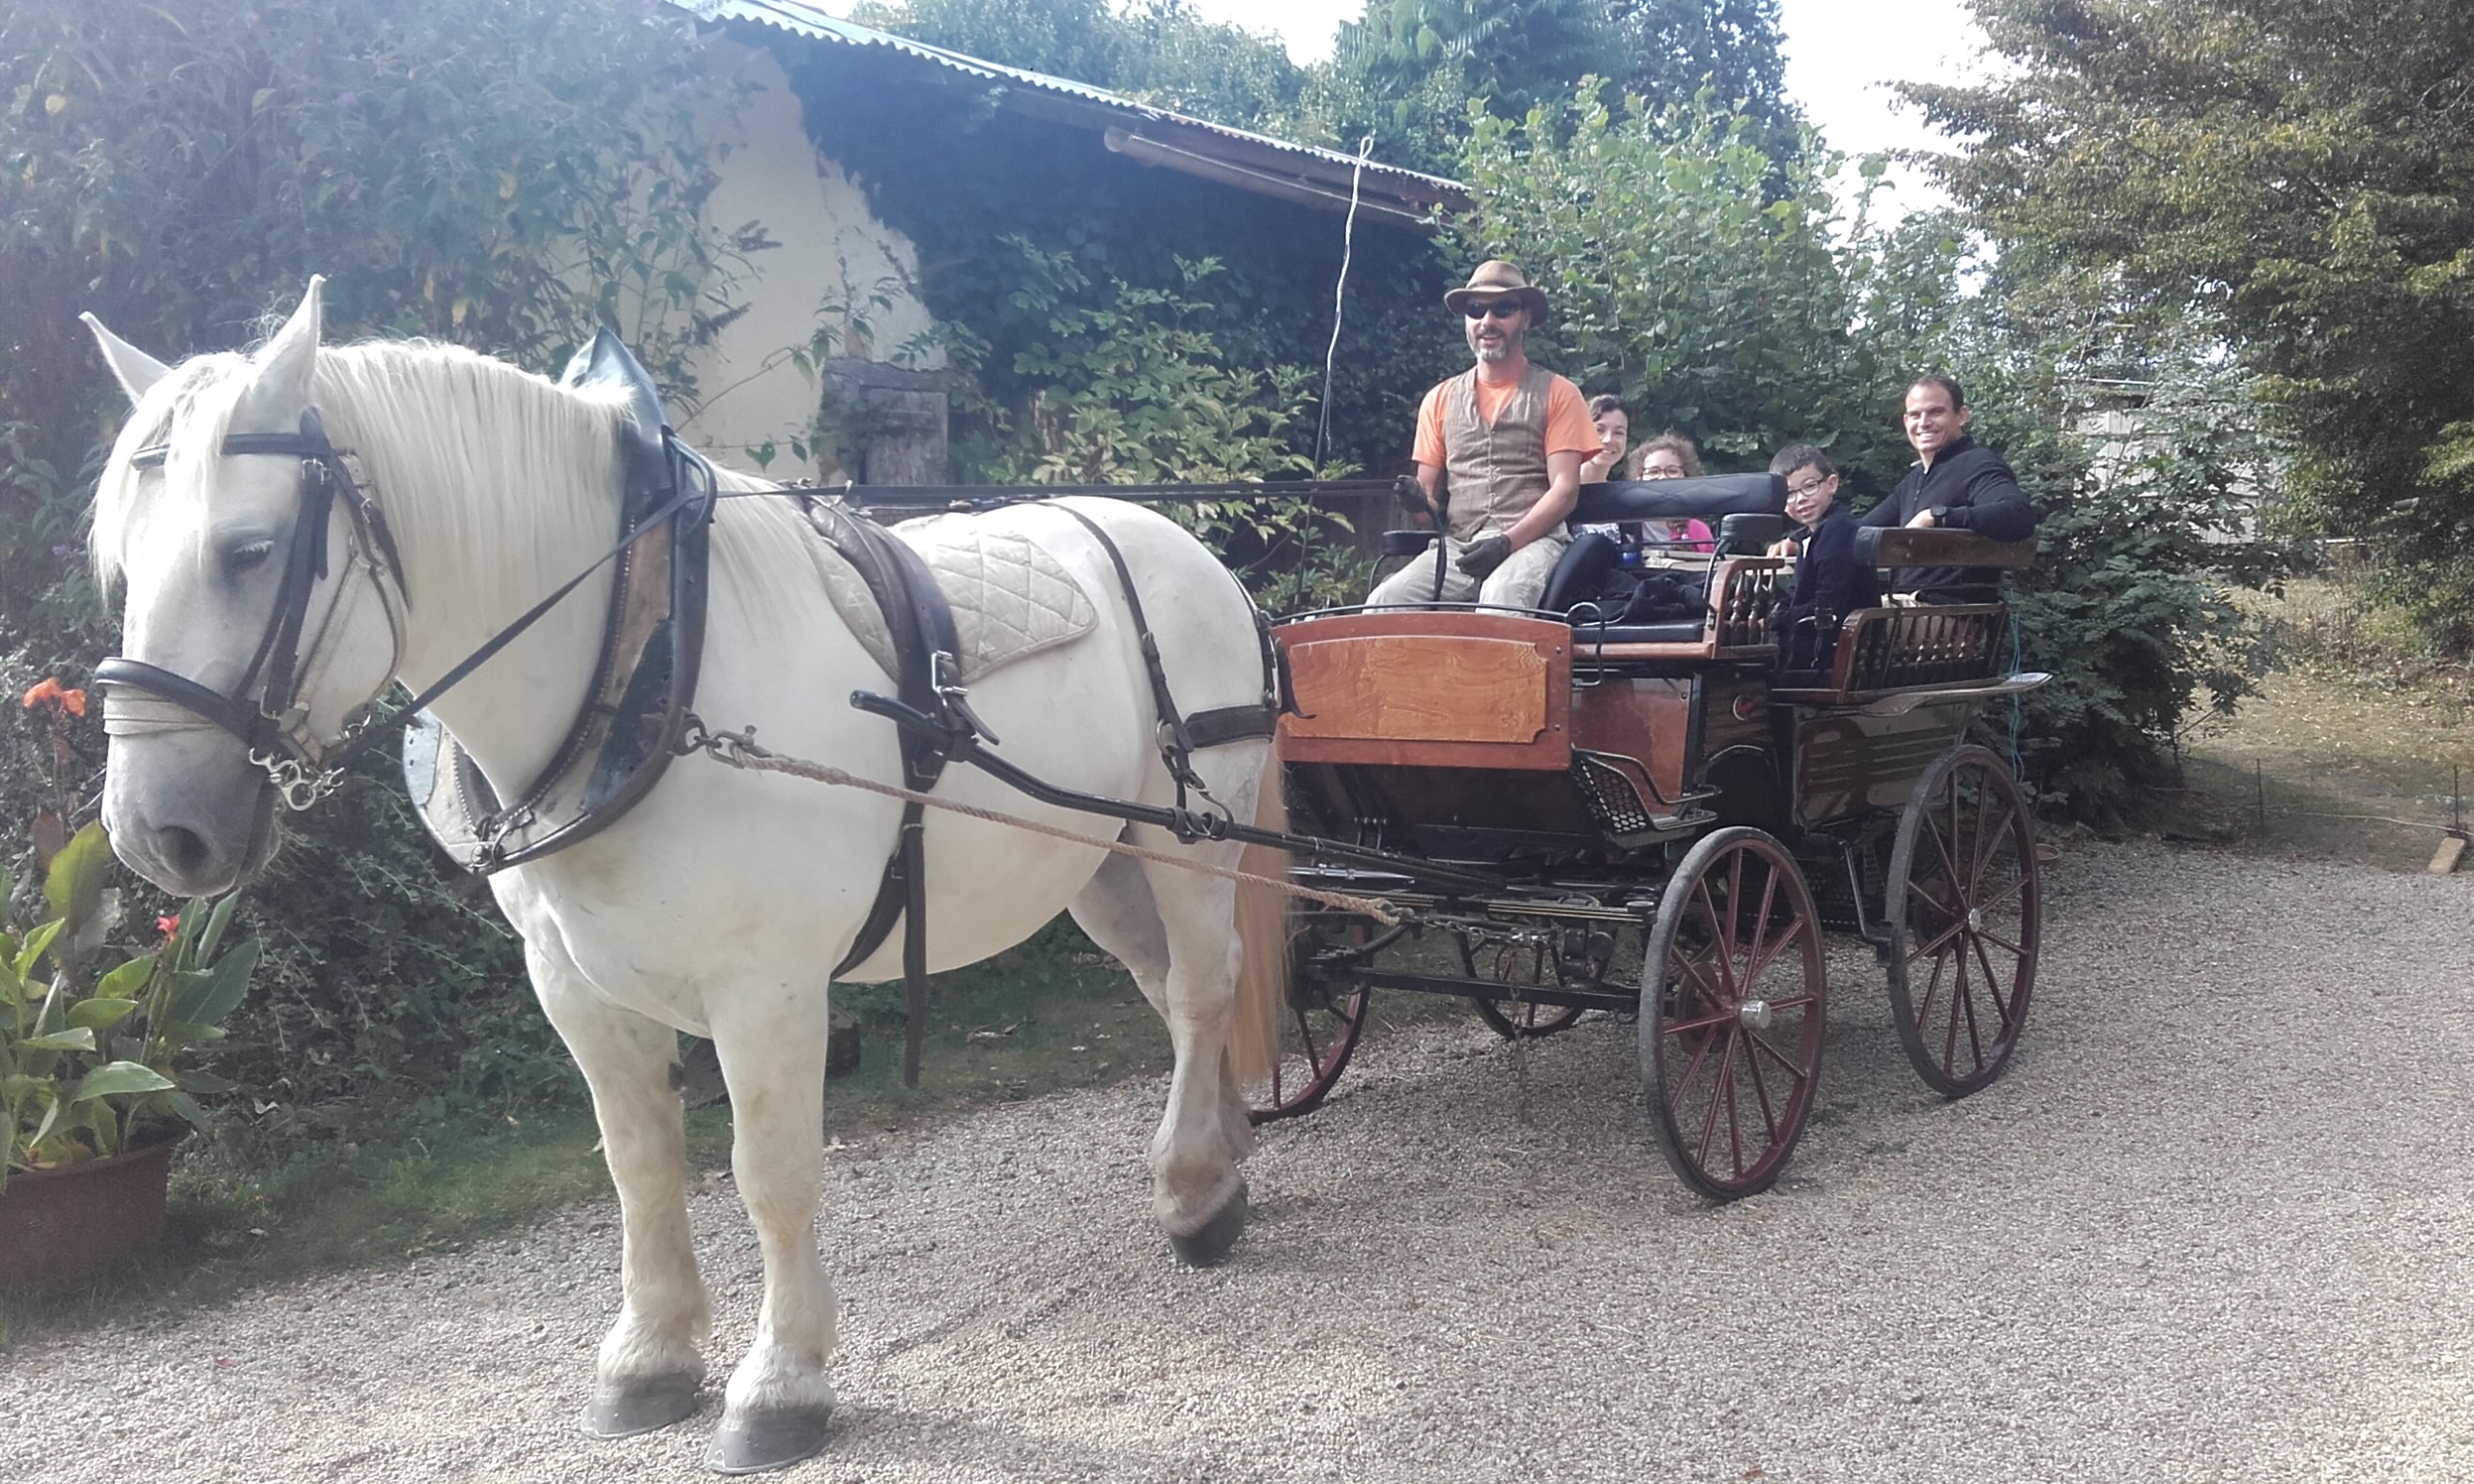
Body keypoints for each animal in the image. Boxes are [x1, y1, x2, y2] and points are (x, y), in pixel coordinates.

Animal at [82, 278, 1276, 1473]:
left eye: (249, 550)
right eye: (124, 565)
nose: (154, 833)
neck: (646, 659)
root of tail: (1175, 539)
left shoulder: (768, 992)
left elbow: (770, 1174)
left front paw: (780, 1383)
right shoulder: (575, 987)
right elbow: (639, 1162)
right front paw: (649, 1361)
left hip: (1188, 841)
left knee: (1202, 987)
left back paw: (1194, 1194)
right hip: (1104, 865)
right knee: (1172, 994)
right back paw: (1222, 1157)